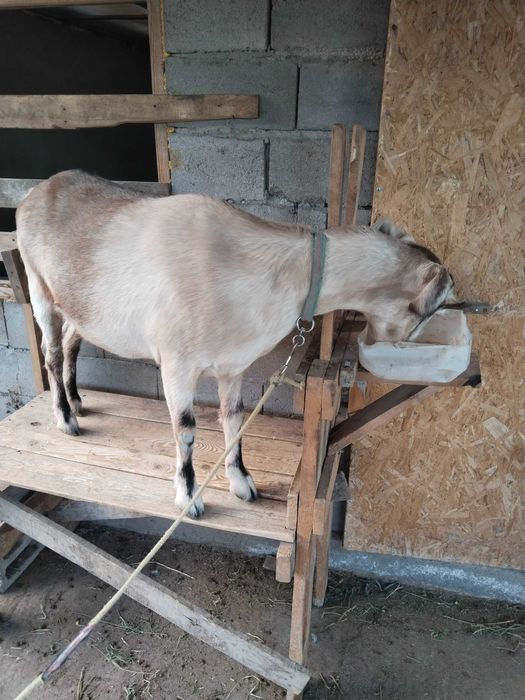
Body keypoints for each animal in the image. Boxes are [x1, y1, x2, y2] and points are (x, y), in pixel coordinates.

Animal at [16, 170, 455, 517]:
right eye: (429, 311)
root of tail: (35, 191)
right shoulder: (177, 364)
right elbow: (186, 429)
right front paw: (189, 498)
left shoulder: (233, 365)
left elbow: (234, 418)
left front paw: (242, 483)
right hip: (39, 288)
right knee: (52, 352)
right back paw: (65, 418)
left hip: (83, 309)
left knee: (72, 343)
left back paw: (77, 401)